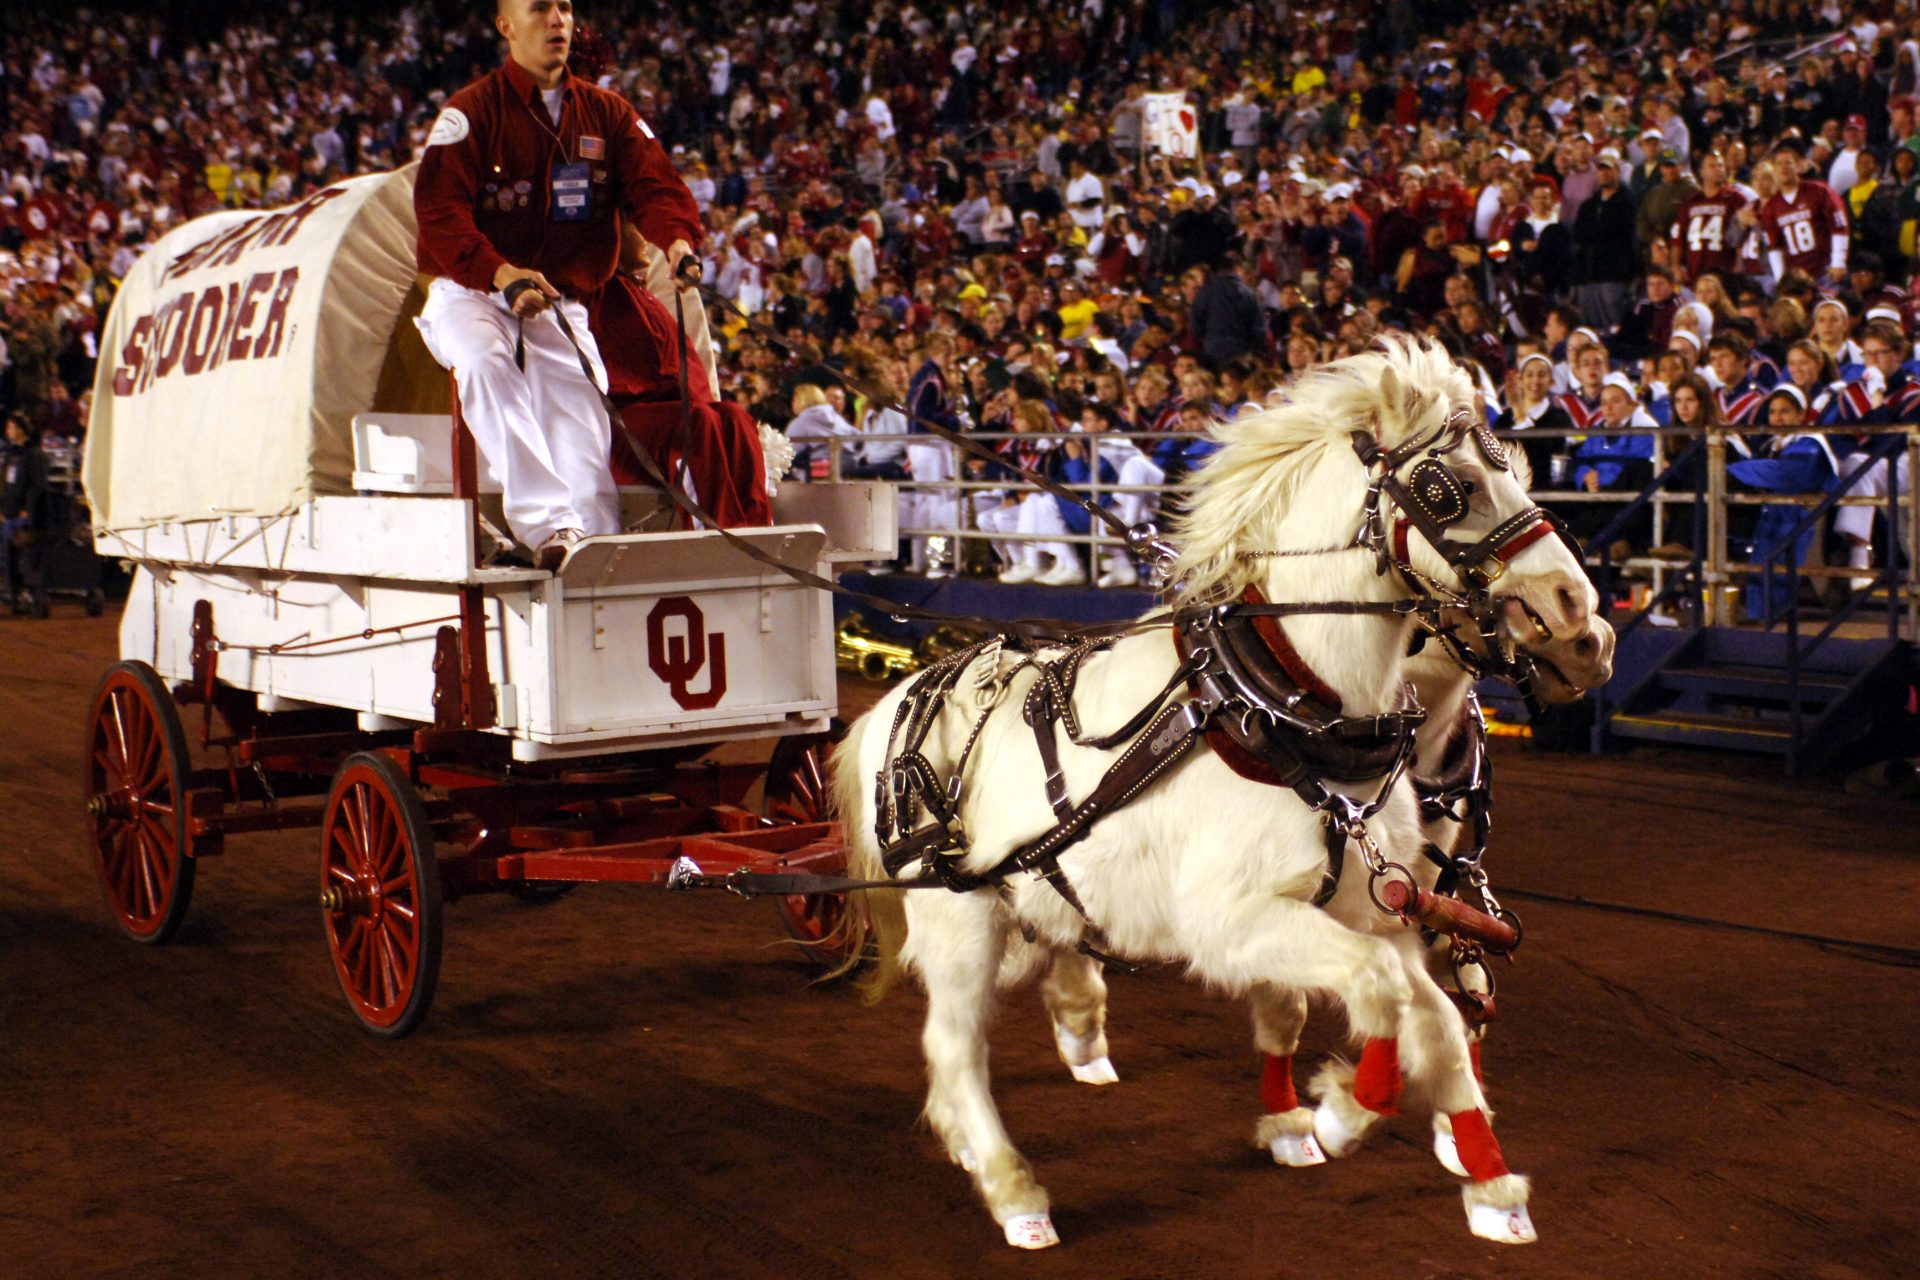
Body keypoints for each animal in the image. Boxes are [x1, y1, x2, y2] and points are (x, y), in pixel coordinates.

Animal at [833, 337, 1597, 1251]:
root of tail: (894, 701)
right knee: (954, 1052)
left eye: (1514, 467)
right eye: (1452, 487)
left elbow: (1436, 1021)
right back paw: (1012, 1189)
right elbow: (1378, 989)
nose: (1580, 614)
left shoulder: (1374, 909)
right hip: (958, 918)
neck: (1281, 708)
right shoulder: (1231, 925)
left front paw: (1487, 1182)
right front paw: (1341, 1111)